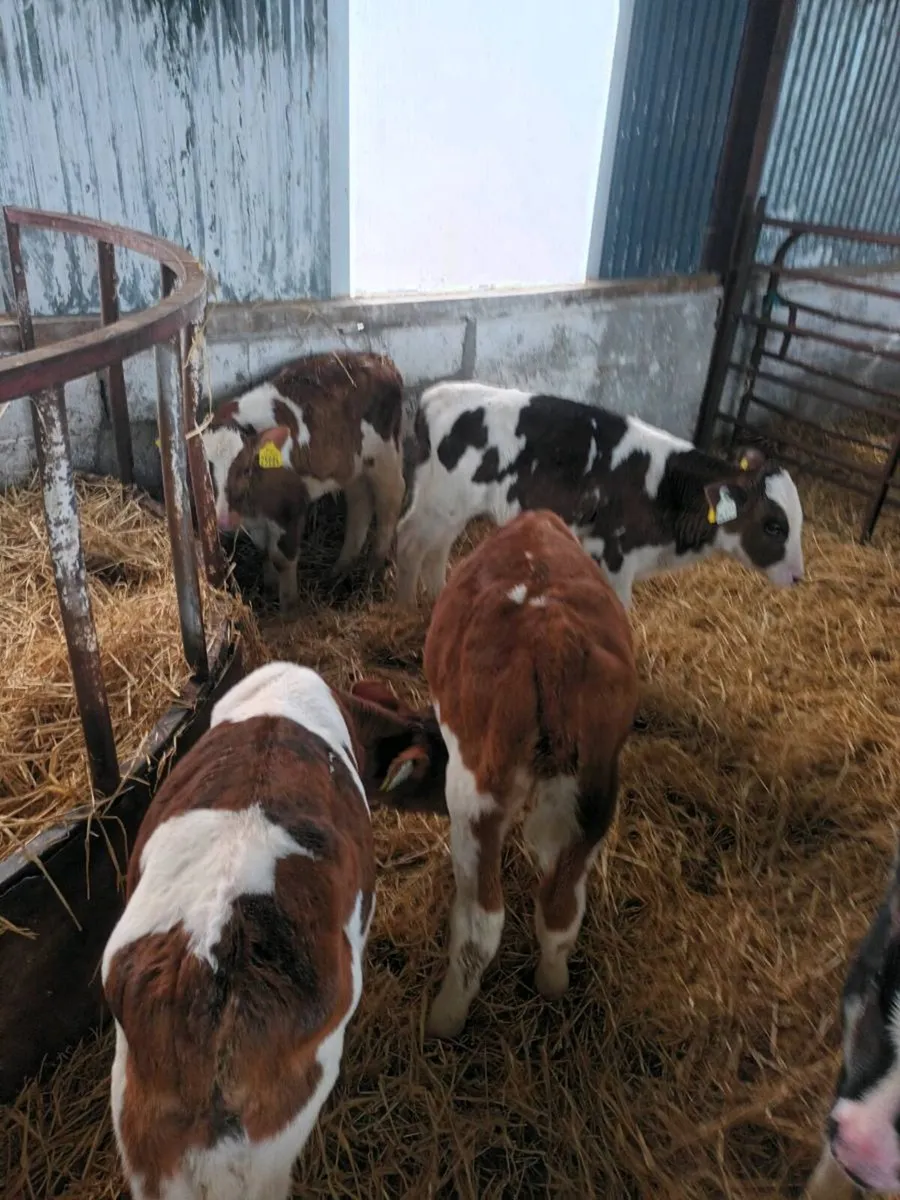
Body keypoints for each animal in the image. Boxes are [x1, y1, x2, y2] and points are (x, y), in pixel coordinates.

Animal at [202, 352, 406, 612]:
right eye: (206, 471)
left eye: (246, 469)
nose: (225, 520)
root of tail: (380, 359)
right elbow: (265, 551)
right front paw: (269, 587)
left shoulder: (290, 507)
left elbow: (282, 558)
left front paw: (290, 609)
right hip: (351, 463)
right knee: (360, 503)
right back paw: (340, 568)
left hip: (385, 455)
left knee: (390, 502)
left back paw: (374, 569)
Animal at [382, 509, 639, 1038]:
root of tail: (554, 640)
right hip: (596, 793)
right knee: (560, 908)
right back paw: (552, 983)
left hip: (478, 796)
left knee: (483, 921)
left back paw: (446, 1017)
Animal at [394, 381, 805, 611]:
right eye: (774, 526)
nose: (798, 576)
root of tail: (435, 397)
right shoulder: (615, 557)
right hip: (440, 502)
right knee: (411, 543)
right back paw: (406, 609)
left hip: (452, 507)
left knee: (437, 550)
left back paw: (439, 597)